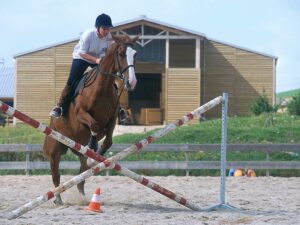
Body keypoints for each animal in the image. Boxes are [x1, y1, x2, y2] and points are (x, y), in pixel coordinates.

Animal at [42, 34, 140, 205]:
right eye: (121, 54)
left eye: (134, 54)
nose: (131, 82)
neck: (102, 88)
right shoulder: (81, 113)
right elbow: (93, 124)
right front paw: (93, 146)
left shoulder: (112, 118)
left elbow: (108, 141)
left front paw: (96, 158)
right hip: (55, 147)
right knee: (56, 174)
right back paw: (58, 199)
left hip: (76, 147)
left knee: (81, 172)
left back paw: (82, 196)